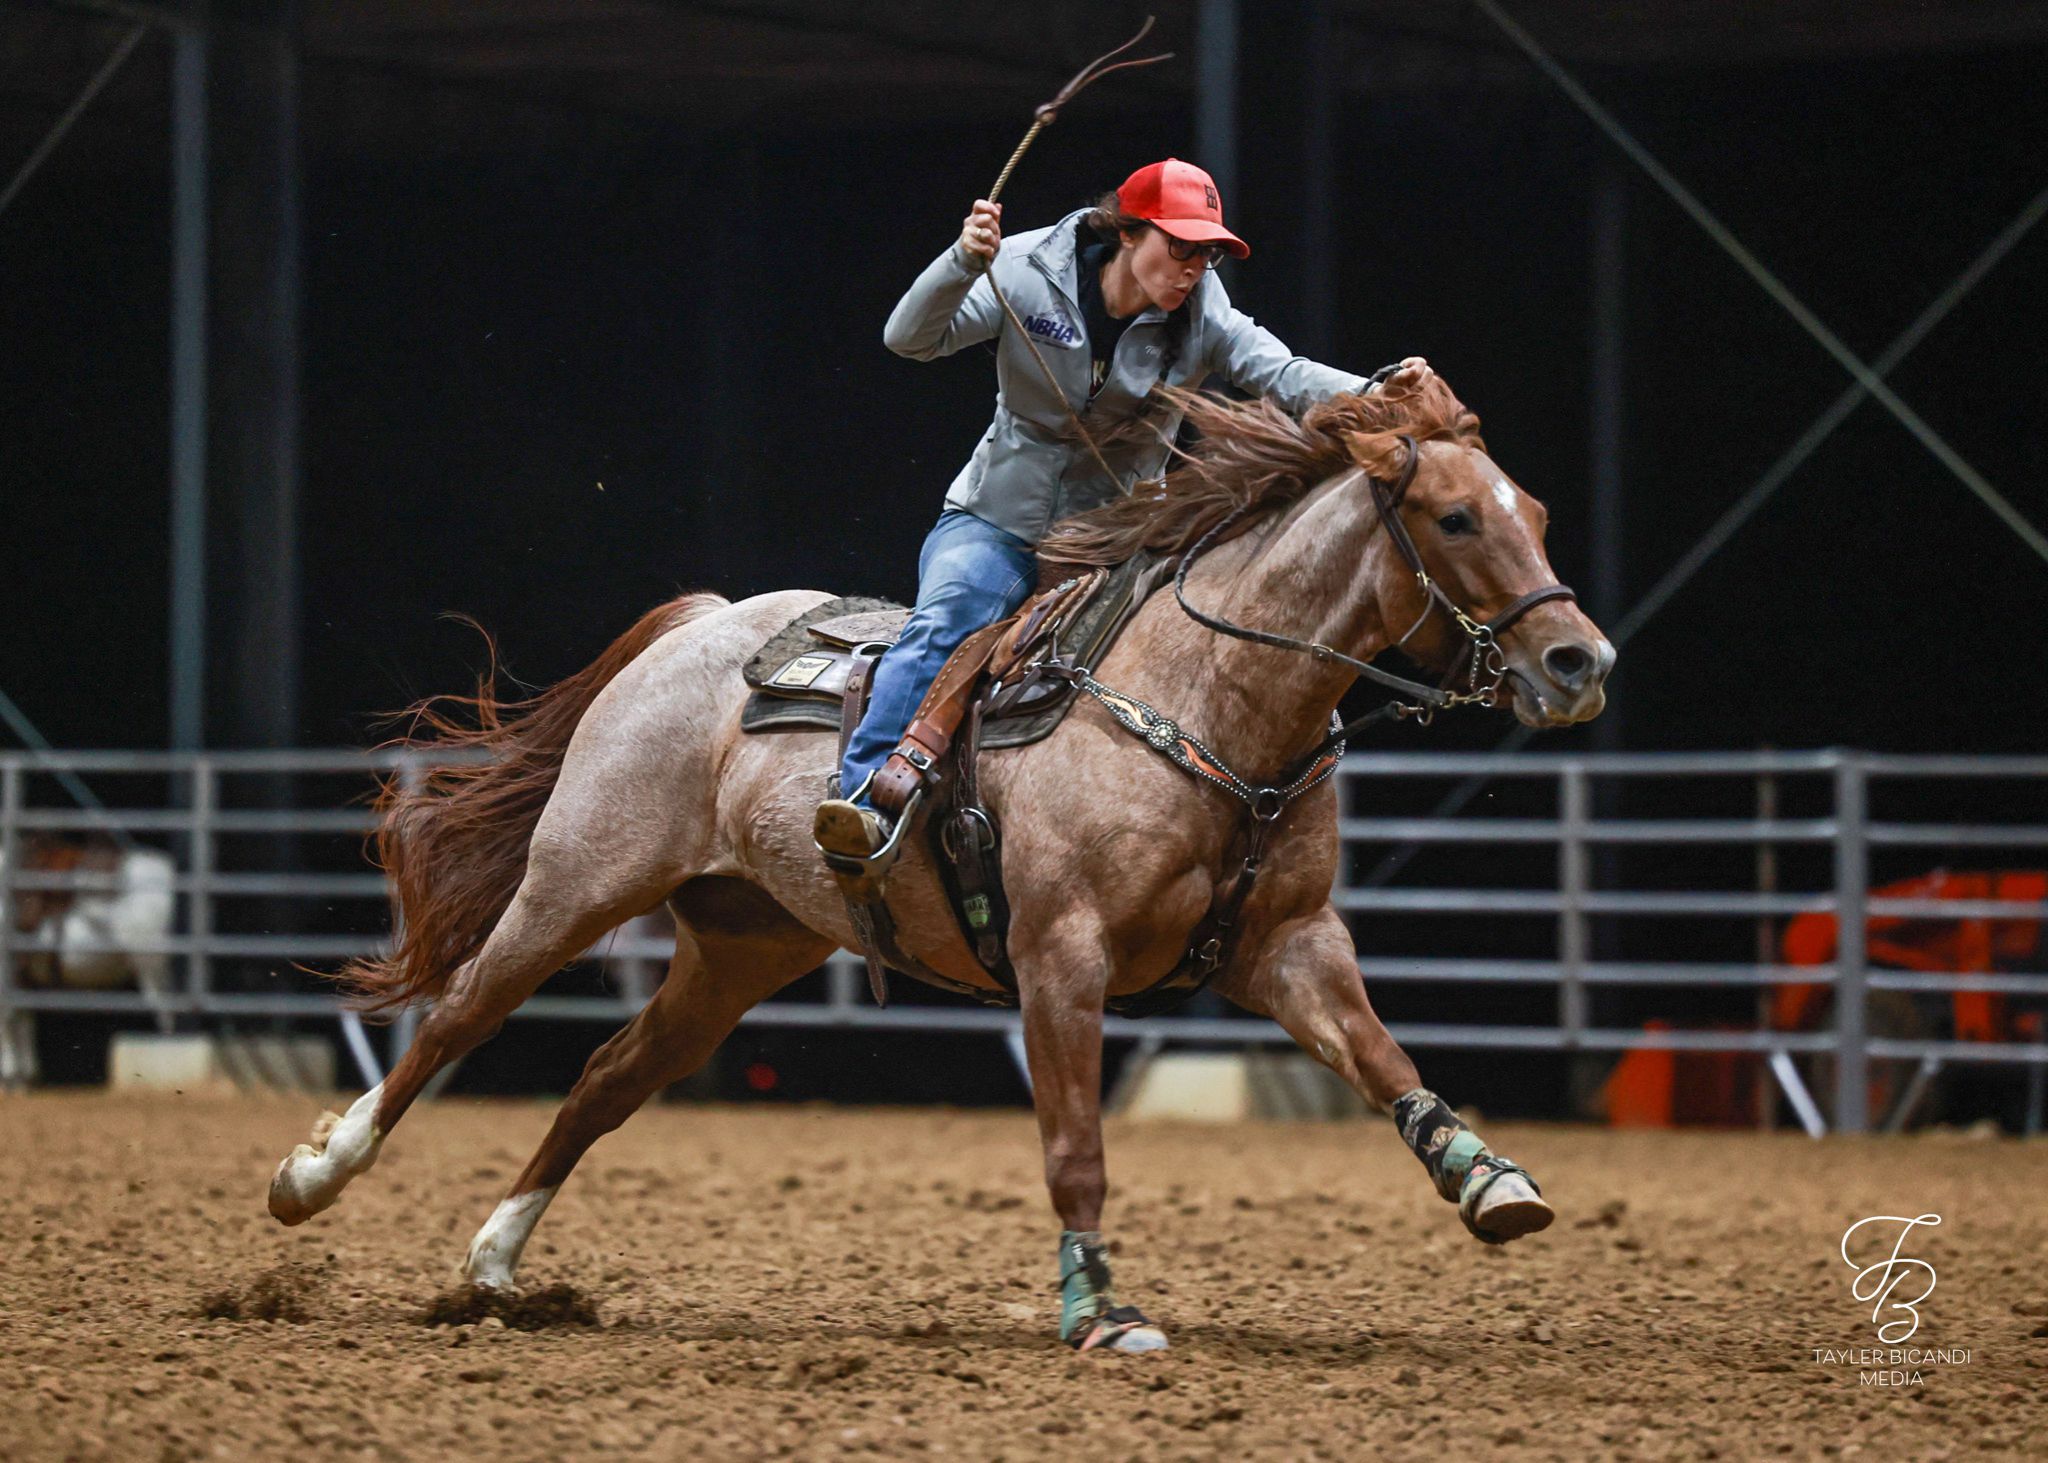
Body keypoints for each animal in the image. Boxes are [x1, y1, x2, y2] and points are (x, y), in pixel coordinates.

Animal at [268, 372, 1613, 1344]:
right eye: (1453, 516)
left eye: (1540, 515)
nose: (1579, 662)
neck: (1203, 697)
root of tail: (700, 625)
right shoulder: (1059, 953)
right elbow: (1073, 1144)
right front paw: (1101, 1309)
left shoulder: (1289, 942)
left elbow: (1384, 1058)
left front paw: (1489, 1180)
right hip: (579, 879)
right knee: (457, 1018)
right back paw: (312, 1176)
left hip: (739, 946)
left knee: (606, 1077)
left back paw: (495, 1265)